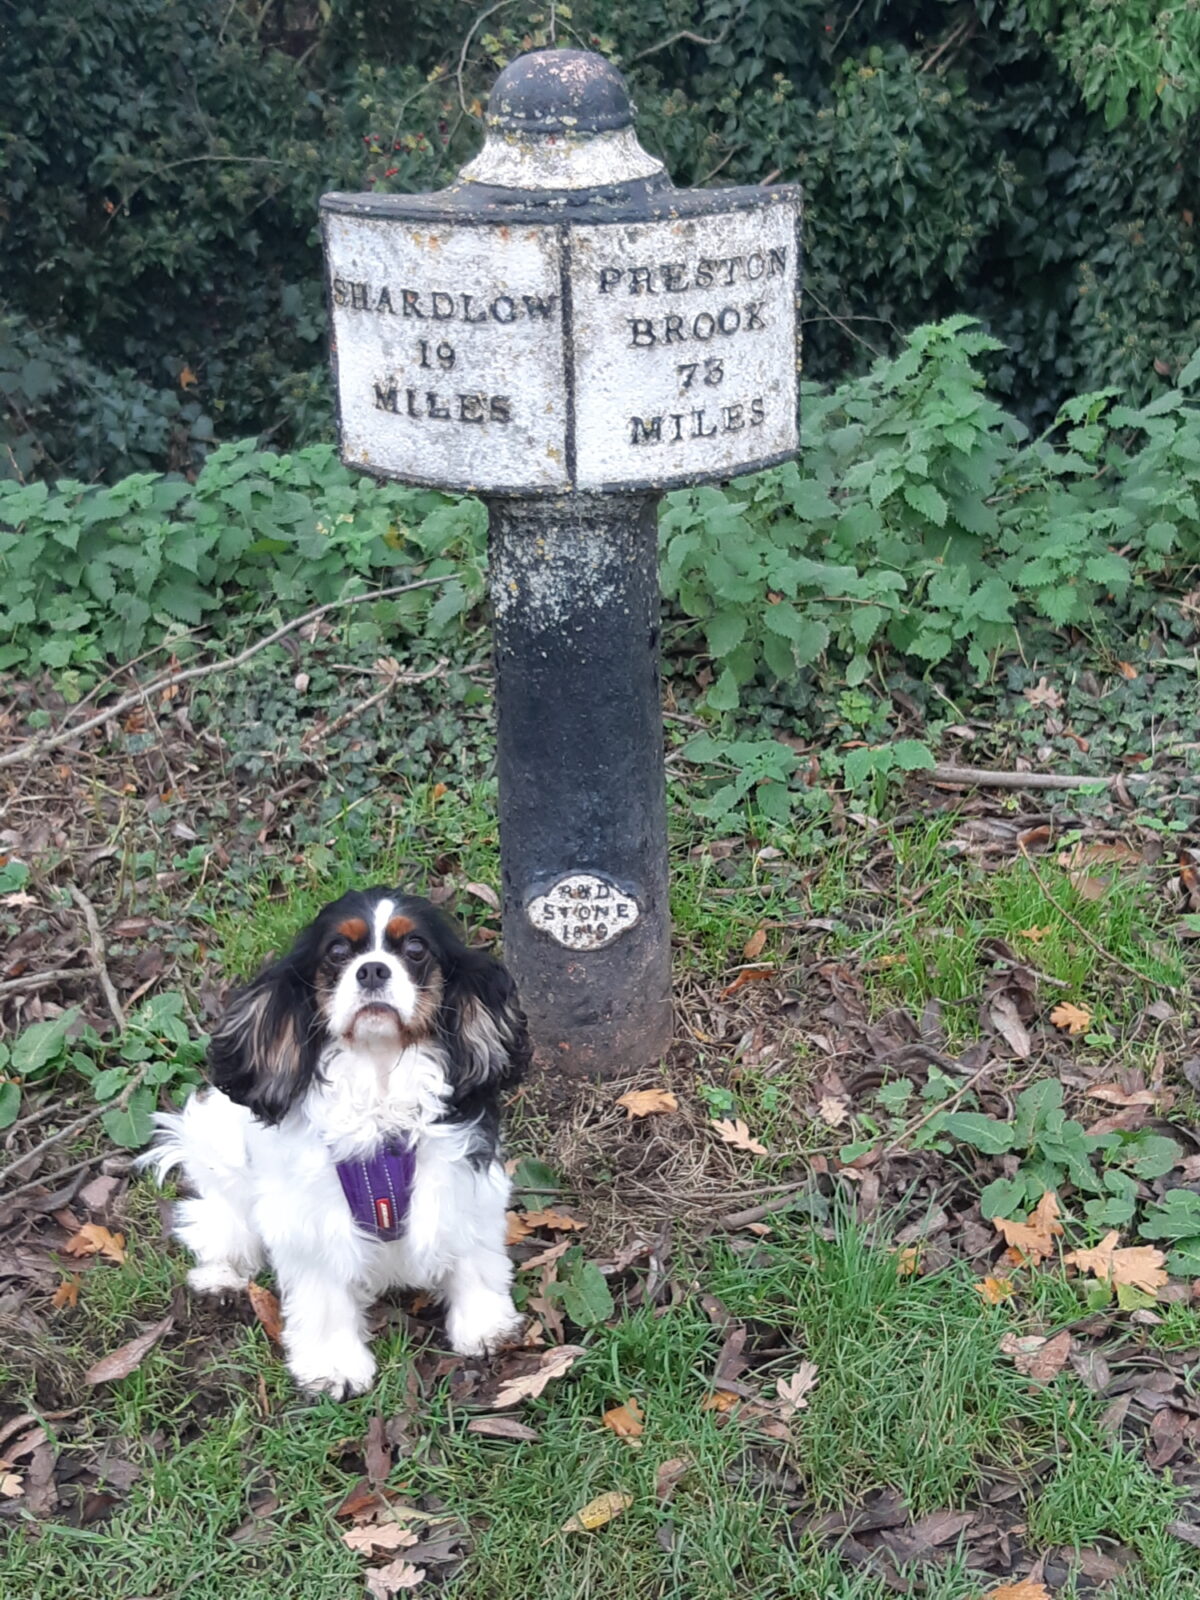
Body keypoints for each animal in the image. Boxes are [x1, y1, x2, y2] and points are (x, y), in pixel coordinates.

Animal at [143, 889, 528, 1401]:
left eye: (416, 948)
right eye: (338, 952)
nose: (373, 970)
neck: (379, 1074)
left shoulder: (460, 1184)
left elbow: (473, 1256)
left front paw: (484, 1325)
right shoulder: (310, 1218)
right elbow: (322, 1296)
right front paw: (333, 1366)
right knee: (219, 1222)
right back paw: (220, 1276)